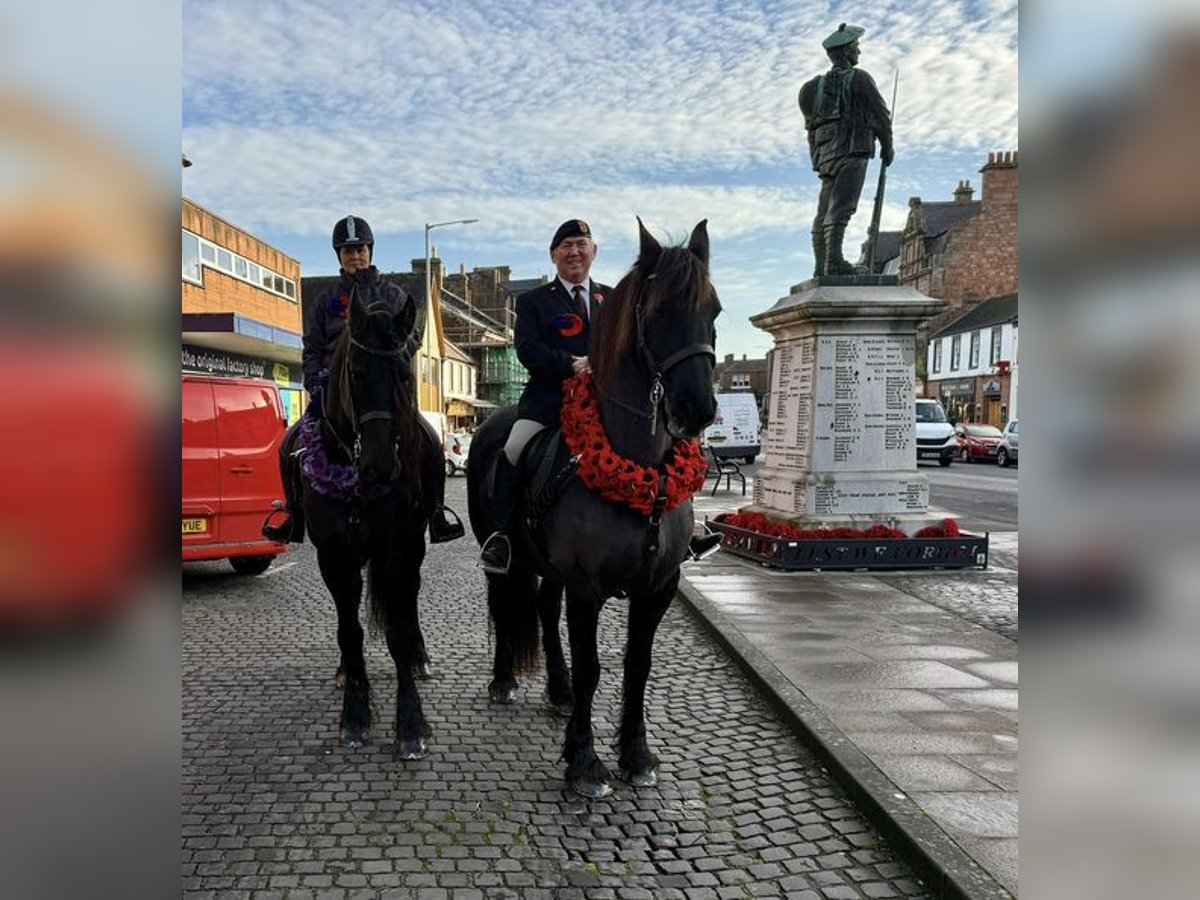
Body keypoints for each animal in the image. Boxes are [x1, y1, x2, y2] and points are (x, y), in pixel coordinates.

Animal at [304, 289, 436, 763]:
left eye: (405, 374)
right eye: (356, 373)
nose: (380, 466)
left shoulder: (394, 551)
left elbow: (396, 630)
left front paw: (410, 724)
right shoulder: (333, 557)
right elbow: (350, 631)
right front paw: (356, 714)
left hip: (413, 550)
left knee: (410, 600)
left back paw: (419, 656)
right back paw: (348, 670)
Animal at [463, 222, 715, 801]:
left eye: (713, 309)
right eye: (658, 312)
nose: (697, 409)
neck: (642, 471)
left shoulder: (658, 586)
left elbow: (637, 665)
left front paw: (636, 755)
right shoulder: (586, 586)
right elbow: (593, 669)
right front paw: (583, 763)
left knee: (541, 607)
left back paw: (556, 689)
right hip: (503, 555)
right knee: (506, 603)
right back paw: (505, 680)